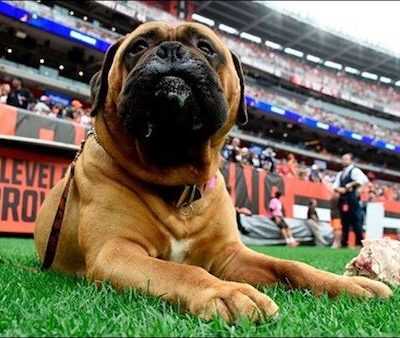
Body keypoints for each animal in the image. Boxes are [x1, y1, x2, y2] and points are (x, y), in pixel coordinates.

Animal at [34, 21, 390, 322]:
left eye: (205, 46)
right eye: (138, 46)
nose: (171, 50)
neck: (178, 179)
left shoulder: (231, 256)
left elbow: (290, 264)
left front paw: (348, 284)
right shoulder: (116, 250)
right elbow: (181, 271)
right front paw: (225, 292)